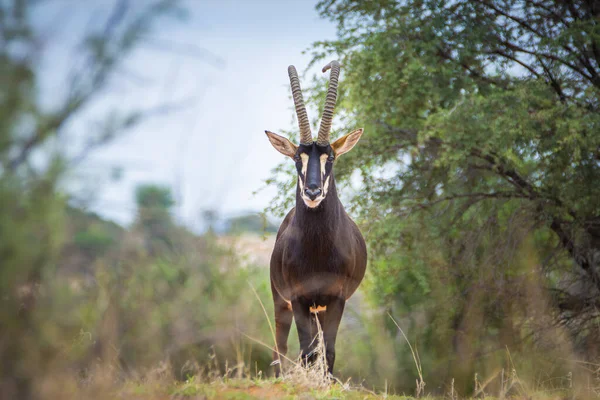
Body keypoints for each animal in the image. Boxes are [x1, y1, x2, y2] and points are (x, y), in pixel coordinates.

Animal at [266, 60, 366, 376]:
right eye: (297, 157)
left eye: (330, 157)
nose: (312, 191)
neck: (318, 248)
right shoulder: (298, 299)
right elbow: (306, 352)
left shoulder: (336, 299)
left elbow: (329, 353)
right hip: (283, 303)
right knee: (281, 348)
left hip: (318, 310)